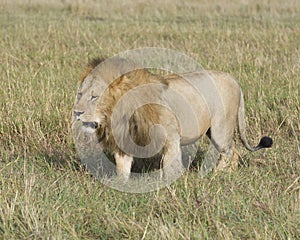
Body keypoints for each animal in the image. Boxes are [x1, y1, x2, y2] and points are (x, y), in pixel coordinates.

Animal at [72, 57, 272, 180]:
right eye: (80, 94)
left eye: (94, 97)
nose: (76, 112)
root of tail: (234, 80)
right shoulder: (125, 140)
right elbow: (123, 168)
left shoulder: (171, 137)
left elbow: (170, 166)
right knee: (234, 151)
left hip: (220, 130)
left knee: (229, 152)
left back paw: (216, 175)